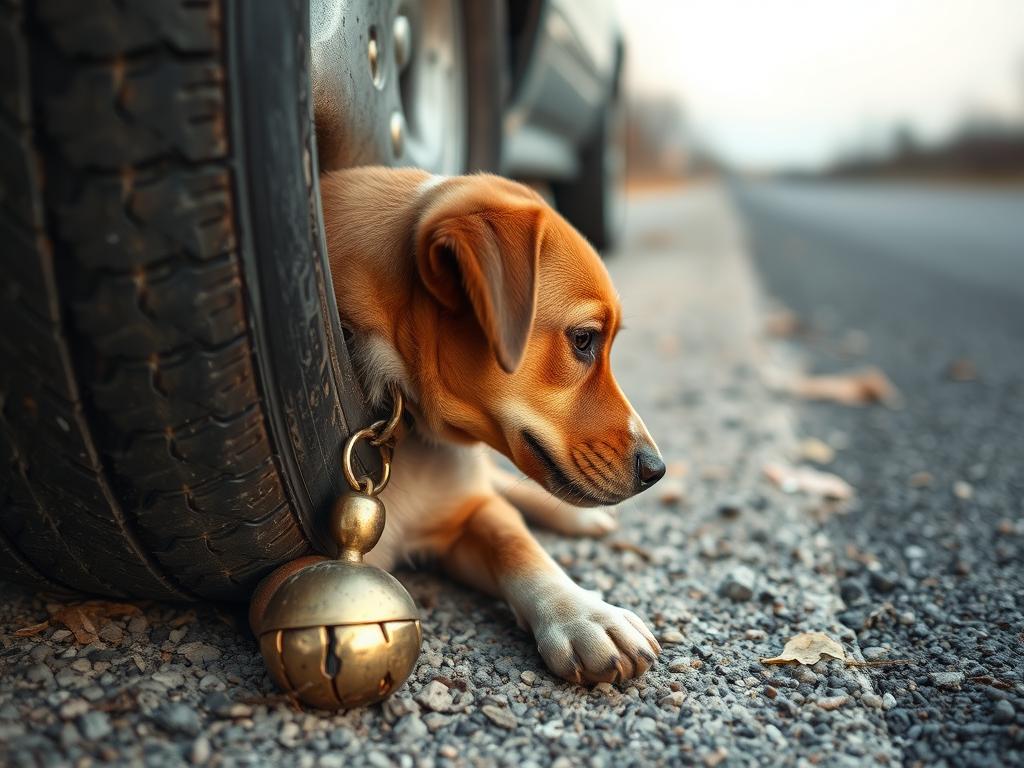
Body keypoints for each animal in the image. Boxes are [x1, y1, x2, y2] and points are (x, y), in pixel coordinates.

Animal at [323, 167, 667, 684]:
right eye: (583, 339)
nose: (656, 471)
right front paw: (588, 617)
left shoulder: (472, 513)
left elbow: (516, 544)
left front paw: (584, 613)